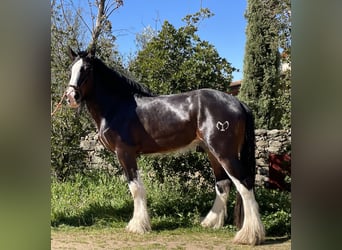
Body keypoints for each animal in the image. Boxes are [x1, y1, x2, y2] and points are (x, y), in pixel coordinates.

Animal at [65, 47, 266, 245]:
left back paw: (249, 235)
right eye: (71, 69)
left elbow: (135, 188)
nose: (71, 97)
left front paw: (137, 226)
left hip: (225, 153)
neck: (118, 107)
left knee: (245, 184)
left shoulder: (125, 153)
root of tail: (238, 103)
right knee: (223, 184)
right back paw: (210, 223)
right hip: (212, 152)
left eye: (86, 69)